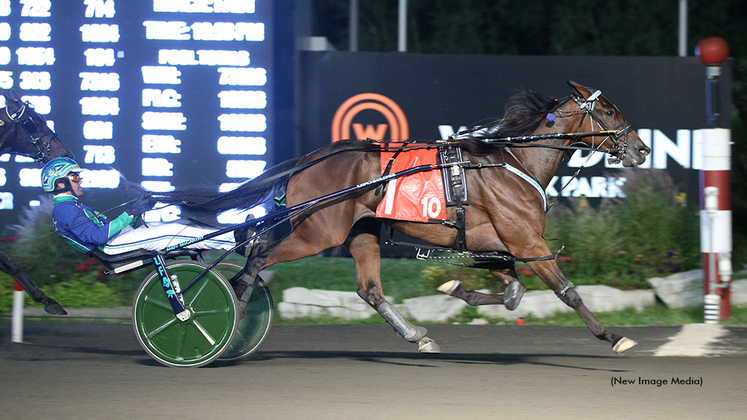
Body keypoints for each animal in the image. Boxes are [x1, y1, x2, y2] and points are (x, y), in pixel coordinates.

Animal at [155, 80, 652, 352]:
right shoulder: (526, 239)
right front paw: (613, 336)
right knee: (256, 257)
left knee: (369, 290)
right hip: (319, 231)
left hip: (361, 232)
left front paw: (457, 290)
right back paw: (226, 318)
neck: (513, 160)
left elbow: (512, 292)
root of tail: (310, 160)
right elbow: (566, 290)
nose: (642, 149)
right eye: (609, 110)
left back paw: (417, 335)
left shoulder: (493, 240)